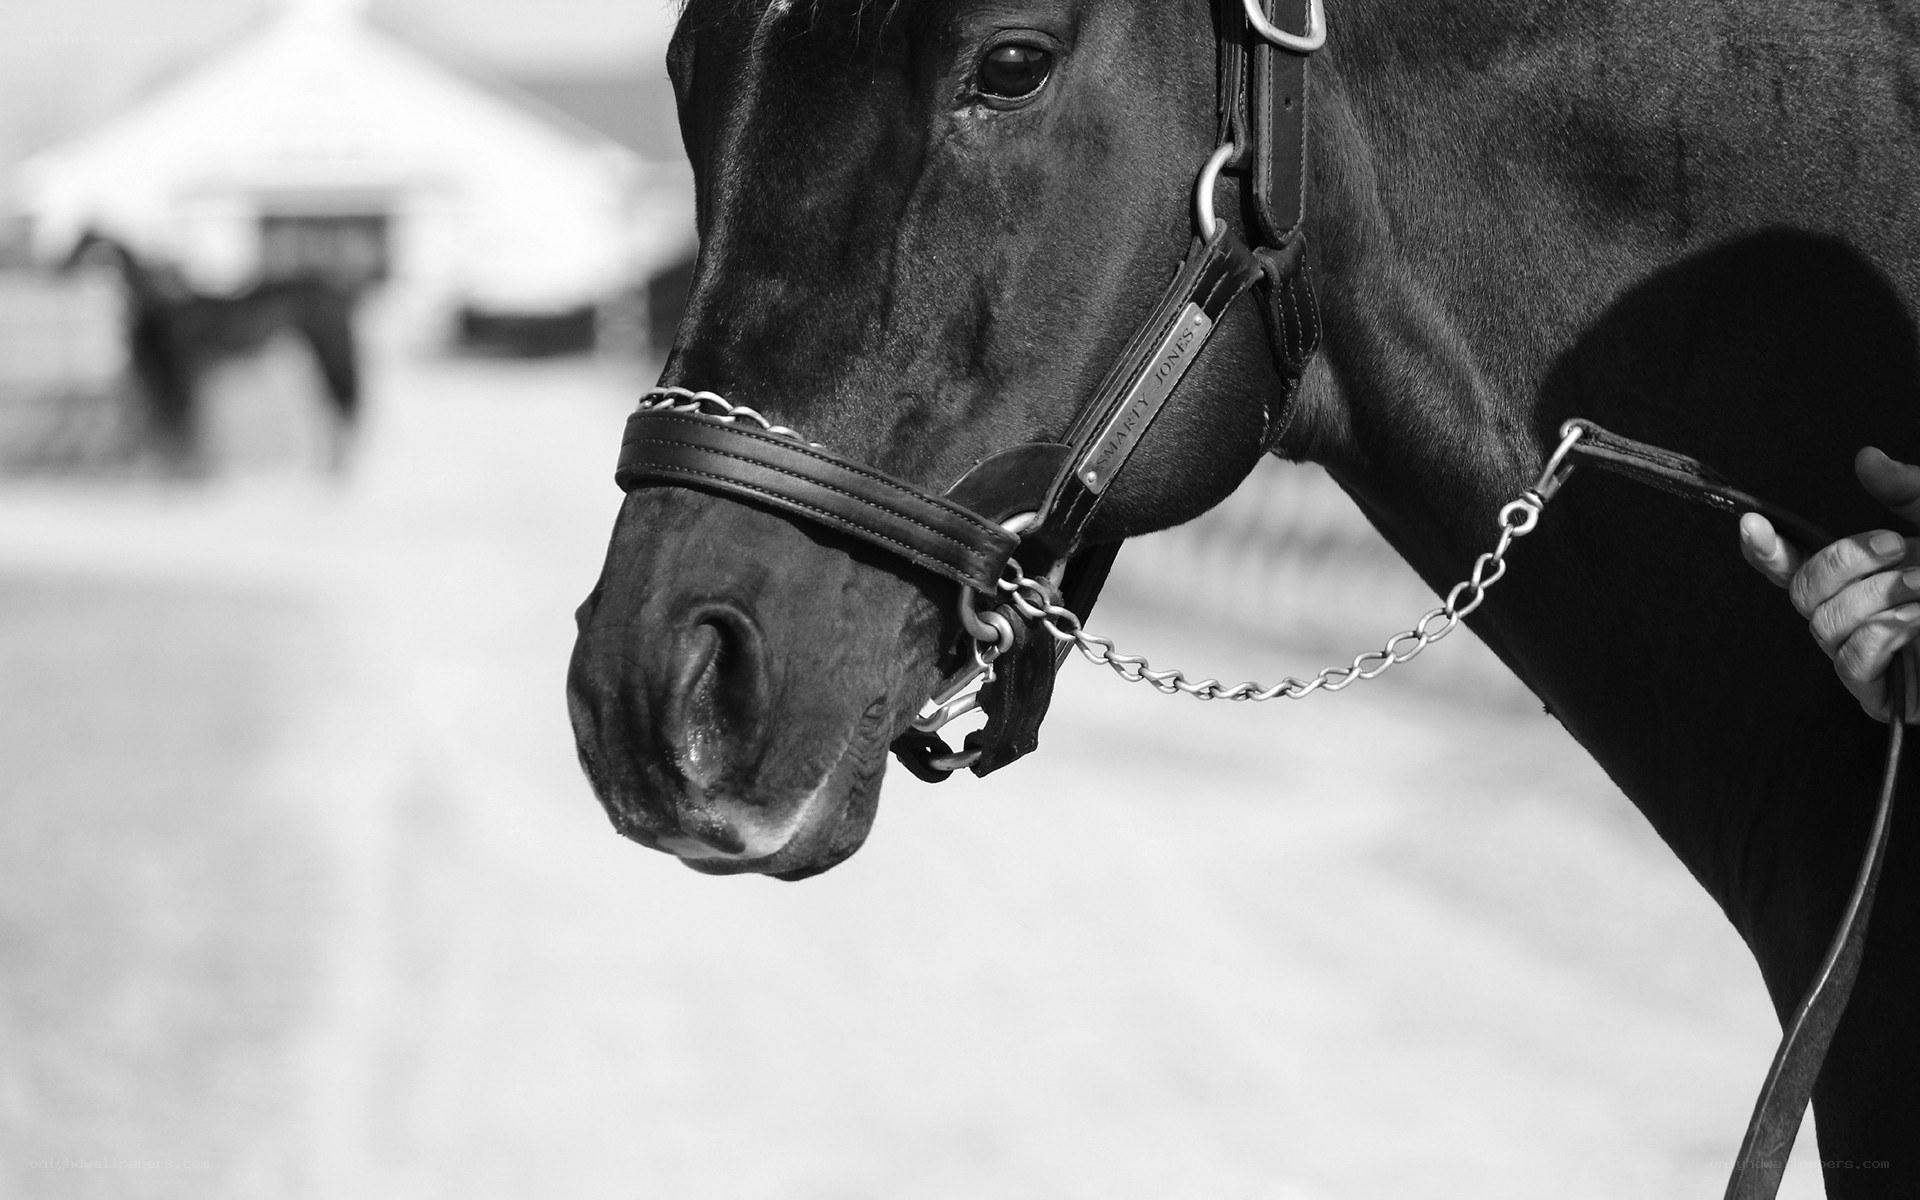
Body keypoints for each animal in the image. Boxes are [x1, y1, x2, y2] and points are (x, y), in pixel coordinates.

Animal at [63, 230, 362, 472]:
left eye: (84, 243)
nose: (61, 264)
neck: (160, 310)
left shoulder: (181, 377)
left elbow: (185, 426)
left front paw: (188, 472)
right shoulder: (174, 380)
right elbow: (180, 427)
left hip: (327, 351)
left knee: (338, 402)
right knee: (331, 402)